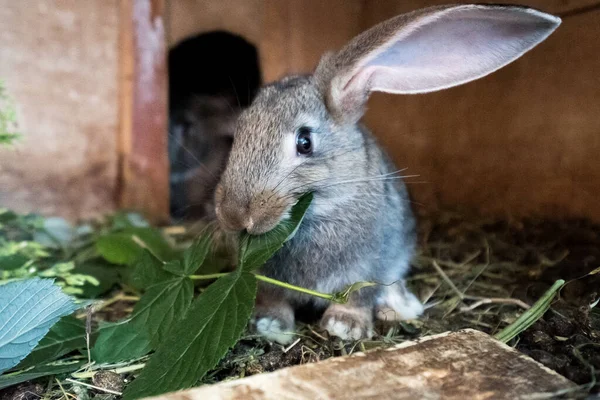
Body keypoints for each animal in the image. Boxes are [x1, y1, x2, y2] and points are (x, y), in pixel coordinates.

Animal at [213, 3, 560, 344]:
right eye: (239, 132)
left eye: (305, 142)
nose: (234, 215)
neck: (318, 213)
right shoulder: (266, 280)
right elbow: (273, 299)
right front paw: (270, 325)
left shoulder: (369, 266)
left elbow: (360, 295)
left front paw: (345, 326)